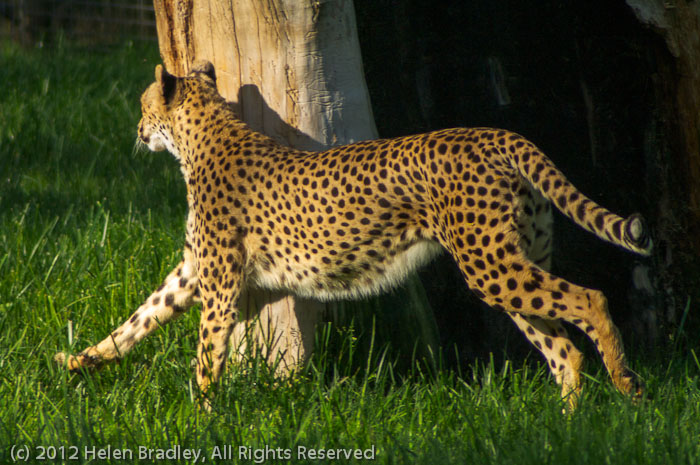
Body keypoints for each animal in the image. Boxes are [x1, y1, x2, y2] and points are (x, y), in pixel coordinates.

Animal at [55, 61, 652, 409]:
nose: (137, 131)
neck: (206, 136)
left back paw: (626, 384)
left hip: (492, 266)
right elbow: (139, 319)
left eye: (142, 106)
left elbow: (206, 357)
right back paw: (569, 422)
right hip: (512, 263)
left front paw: (201, 420)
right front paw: (78, 361)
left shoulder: (220, 287)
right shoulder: (193, 272)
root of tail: (495, 132)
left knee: (590, 300)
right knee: (562, 347)